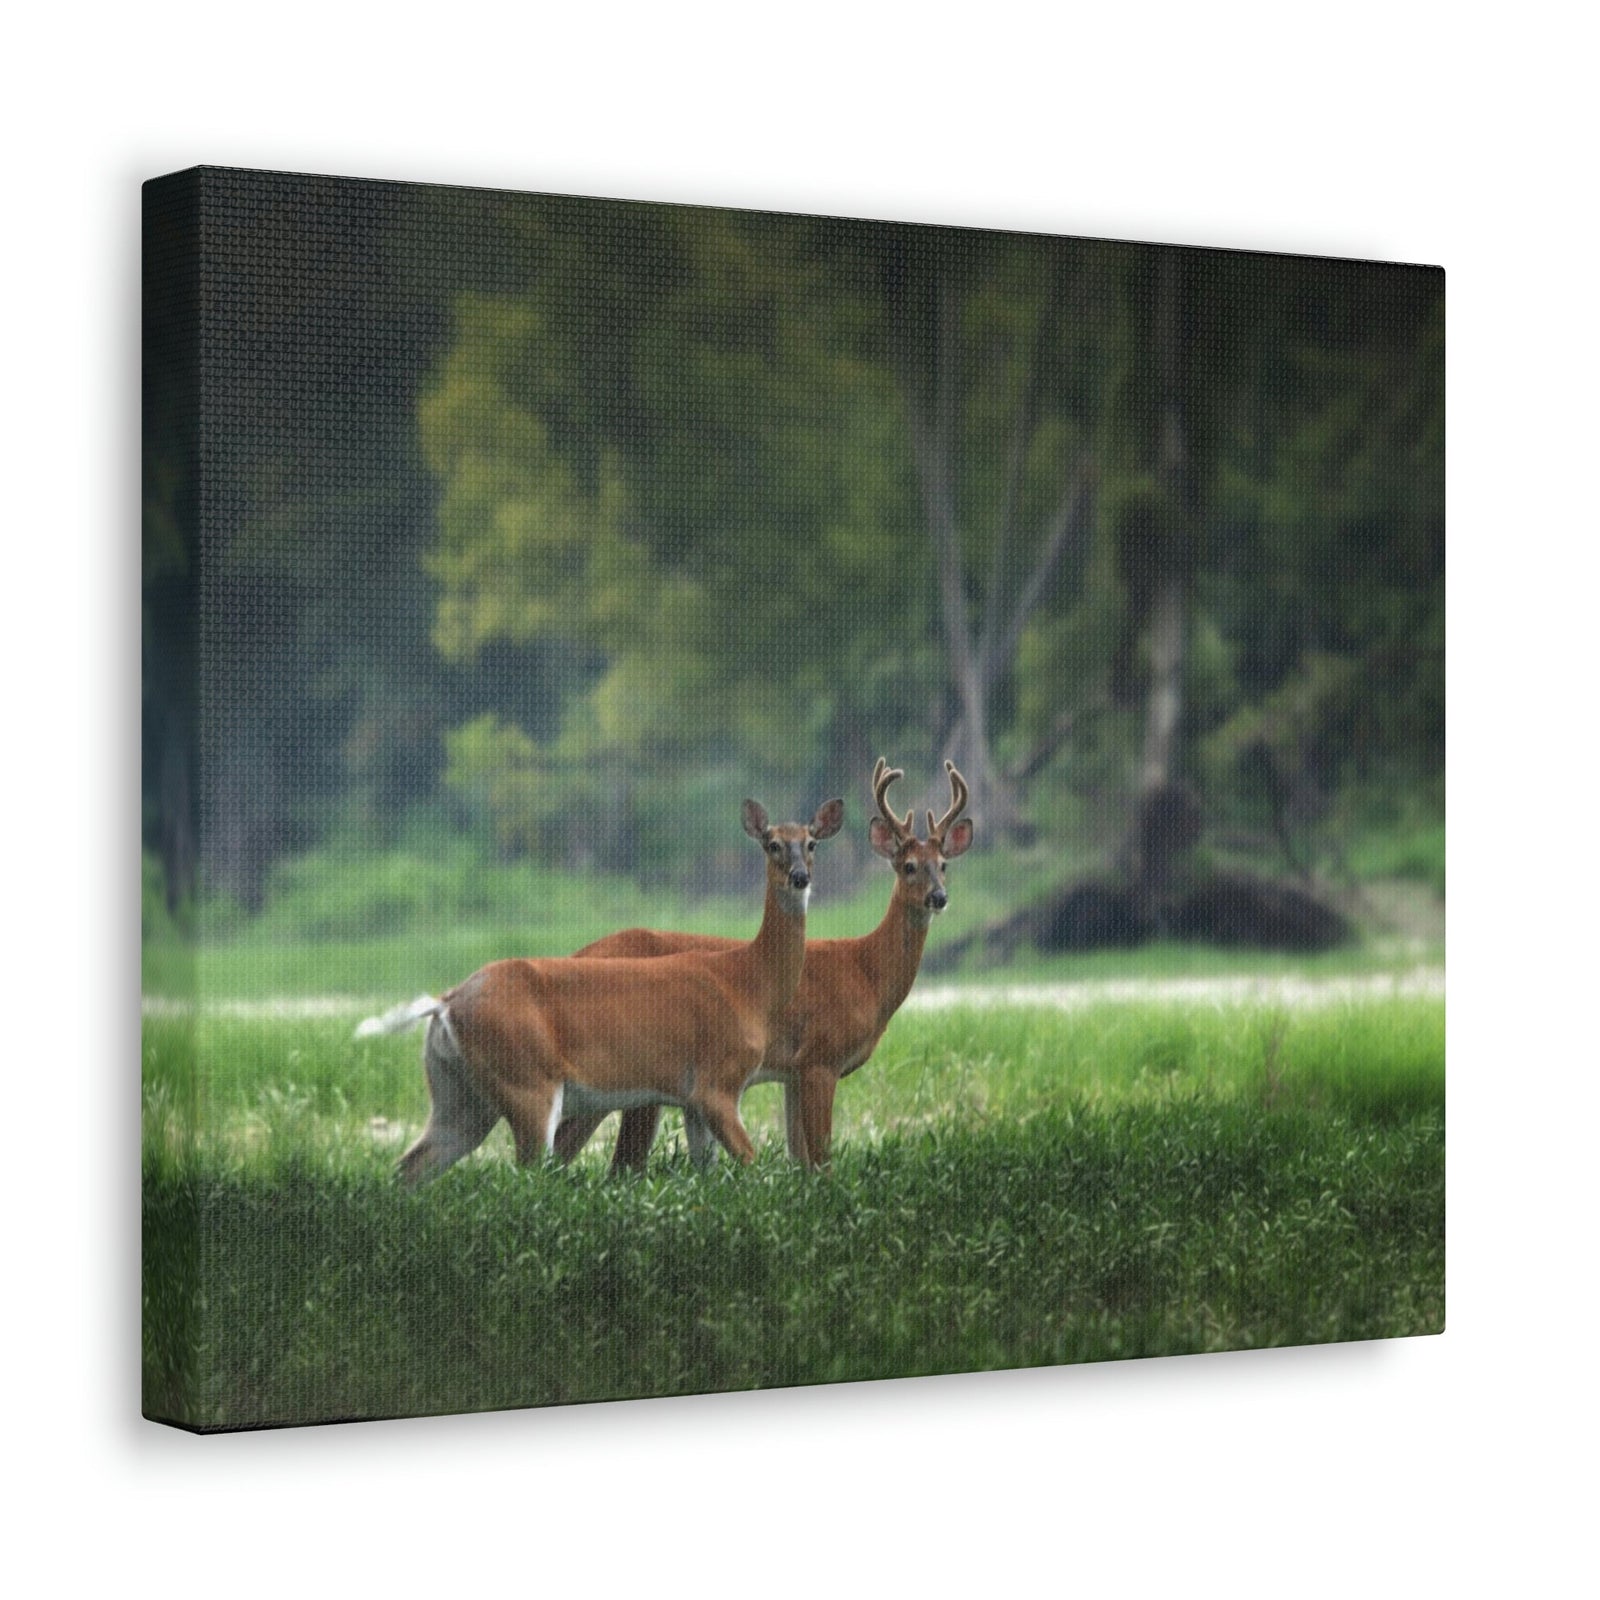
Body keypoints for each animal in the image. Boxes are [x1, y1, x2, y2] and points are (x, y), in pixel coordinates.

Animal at [355, 795, 845, 1185]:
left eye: (812, 843)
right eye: (772, 843)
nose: (800, 877)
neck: (748, 982)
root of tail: (446, 1003)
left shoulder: (691, 1099)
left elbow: (706, 1171)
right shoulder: (717, 1083)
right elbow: (751, 1165)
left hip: (460, 1094)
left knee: (411, 1166)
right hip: (526, 1082)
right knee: (524, 1175)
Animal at [552, 759, 972, 1171]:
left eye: (944, 865)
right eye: (909, 866)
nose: (939, 897)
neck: (866, 972)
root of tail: (577, 954)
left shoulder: (792, 1073)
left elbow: (799, 1157)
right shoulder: (820, 1056)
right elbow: (821, 1158)